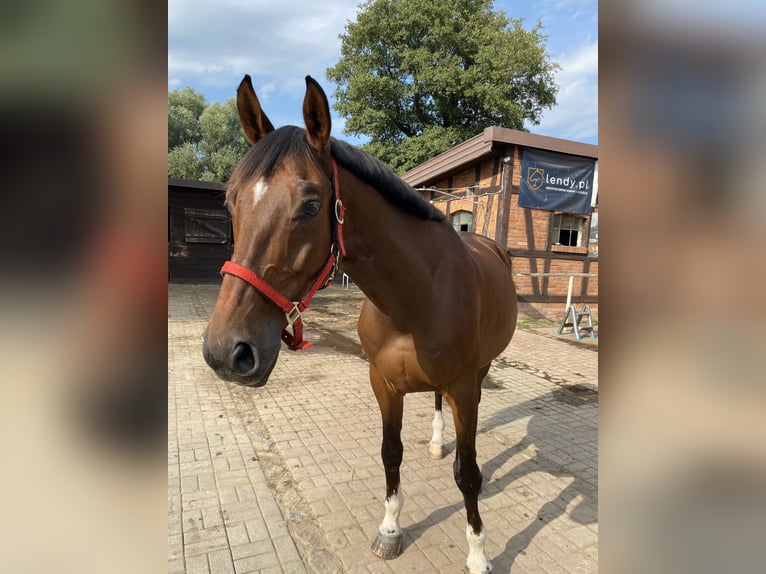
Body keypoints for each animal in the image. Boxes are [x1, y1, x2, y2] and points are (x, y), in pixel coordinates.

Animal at [202, 75, 518, 573]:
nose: (226, 351)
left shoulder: (464, 389)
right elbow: (391, 455)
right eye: (231, 201)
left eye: (311, 206)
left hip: (478, 374)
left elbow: (467, 475)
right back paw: (436, 442)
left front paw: (478, 554)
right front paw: (389, 529)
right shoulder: (383, 384)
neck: (417, 298)